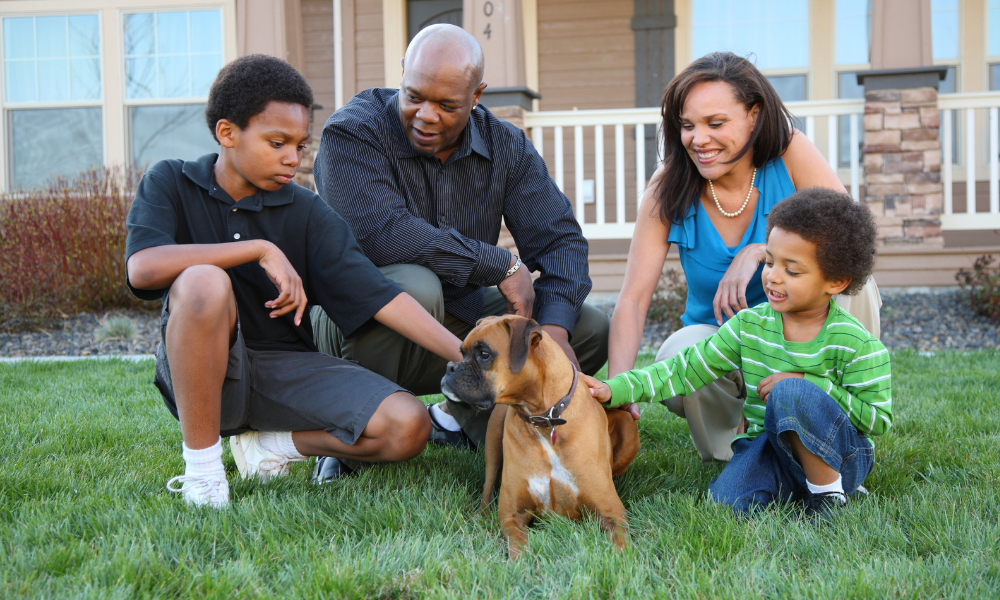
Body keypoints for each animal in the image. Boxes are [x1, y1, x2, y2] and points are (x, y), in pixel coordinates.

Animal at [440, 314, 640, 556]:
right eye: (462, 353)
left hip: (628, 425)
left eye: (484, 354)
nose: (450, 366)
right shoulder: (512, 516)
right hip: (493, 441)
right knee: (488, 486)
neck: (544, 420)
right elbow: (519, 549)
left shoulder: (613, 513)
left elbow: (622, 548)